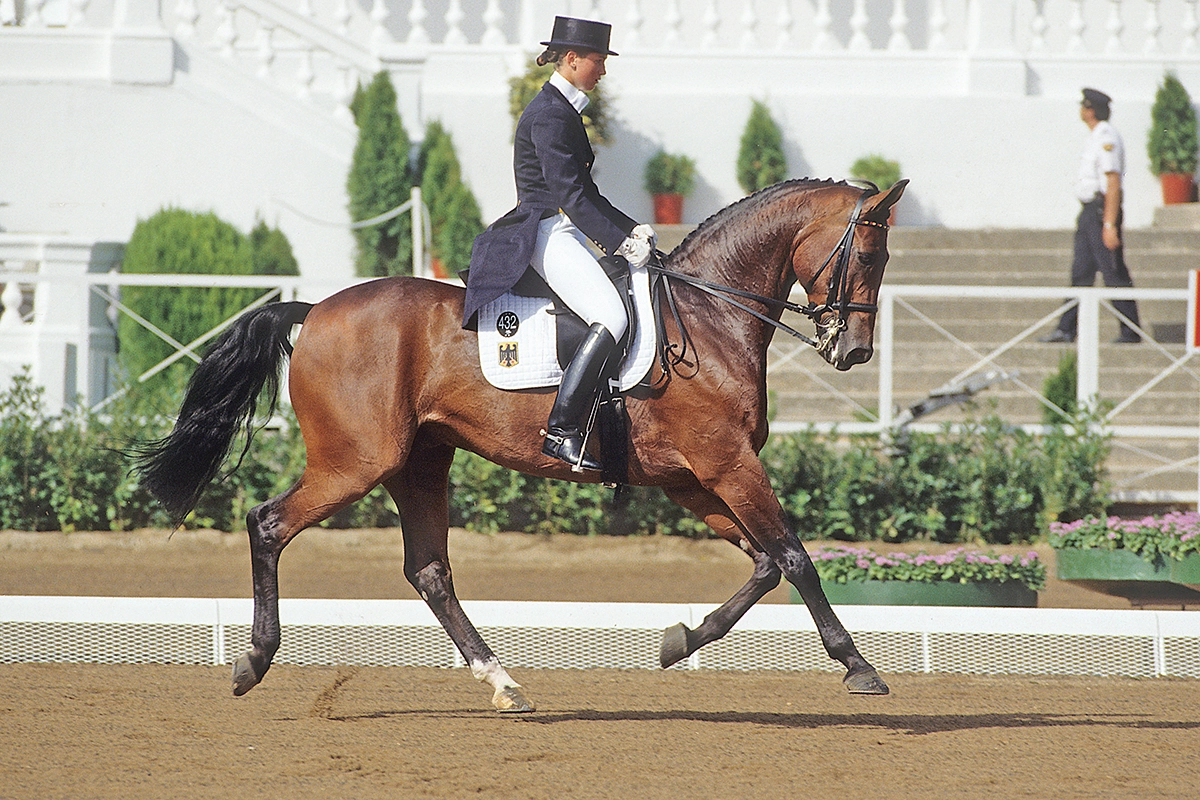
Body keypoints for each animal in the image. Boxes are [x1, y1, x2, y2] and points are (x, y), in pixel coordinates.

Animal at [134, 177, 908, 712]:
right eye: (869, 254)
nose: (855, 352)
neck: (709, 315)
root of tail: (316, 308)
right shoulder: (726, 463)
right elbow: (795, 558)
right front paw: (858, 667)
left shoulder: (693, 477)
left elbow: (765, 564)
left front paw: (680, 641)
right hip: (354, 463)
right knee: (268, 524)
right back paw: (254, 662)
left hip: (420, 462)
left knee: (430, 571)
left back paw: (503, 683)